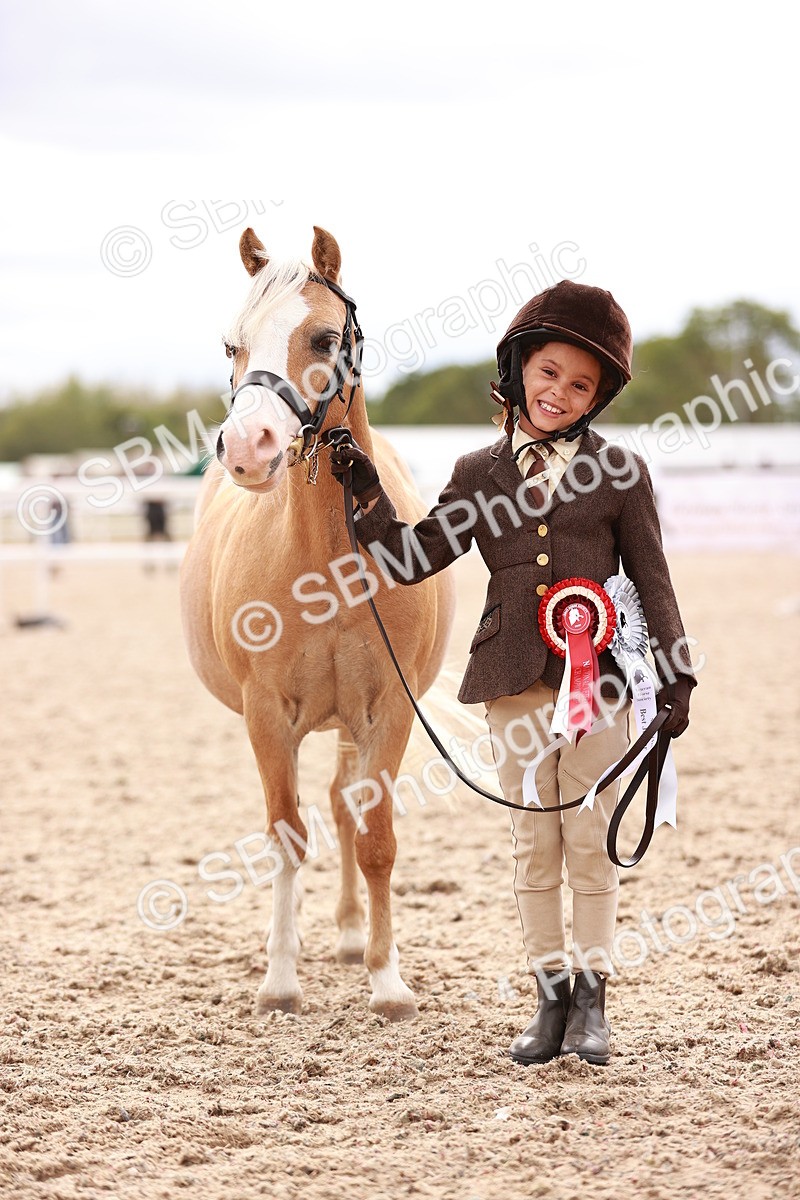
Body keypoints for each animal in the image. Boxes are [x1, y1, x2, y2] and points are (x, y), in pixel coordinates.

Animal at [180, 226, 456, 1020]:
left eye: (325, 337)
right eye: (232, 343)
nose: (248, 449)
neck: (328, 556)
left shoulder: (390, 709)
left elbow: (376, 841)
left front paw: (388, 982)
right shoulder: (267, 716)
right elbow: (286, 837)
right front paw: (279, 980)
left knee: (345, 809)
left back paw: (353, 937)